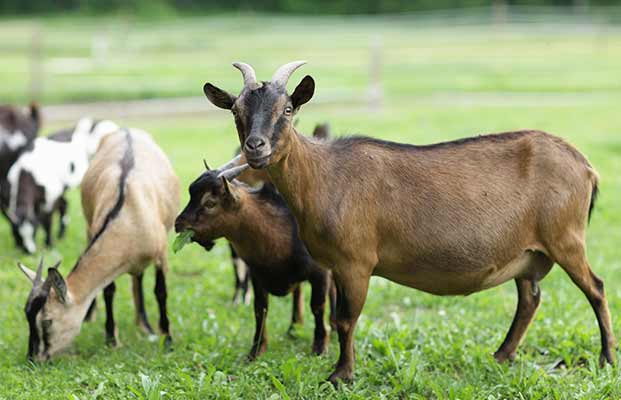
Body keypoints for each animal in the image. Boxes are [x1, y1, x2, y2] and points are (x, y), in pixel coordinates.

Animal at [6, 117, 118, 252]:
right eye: (17, 234)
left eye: (34, 232)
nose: (29, 251)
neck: (27, 173)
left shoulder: (50, 198)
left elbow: (47, 221)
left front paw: (48, 244)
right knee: (65, 204)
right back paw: (61, 234)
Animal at [17, 130, 179, 360]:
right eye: (27, 315)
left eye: (47, 321)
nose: (33, 358)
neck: (130, 215)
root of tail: (127, 130)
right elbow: (108, 290)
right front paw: (111, 339)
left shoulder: (161, 252)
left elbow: (160, 292)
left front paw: (167, 339)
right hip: (87, 226)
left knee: (138, 278)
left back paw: (145, 325)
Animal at [174, 161, 336, 360]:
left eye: (210, 203)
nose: (178, 224)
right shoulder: (257, 276)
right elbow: (260, 309)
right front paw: (256, 351)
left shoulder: (319, 273)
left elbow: (317, 306)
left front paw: (320, 347)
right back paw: (293, 329)